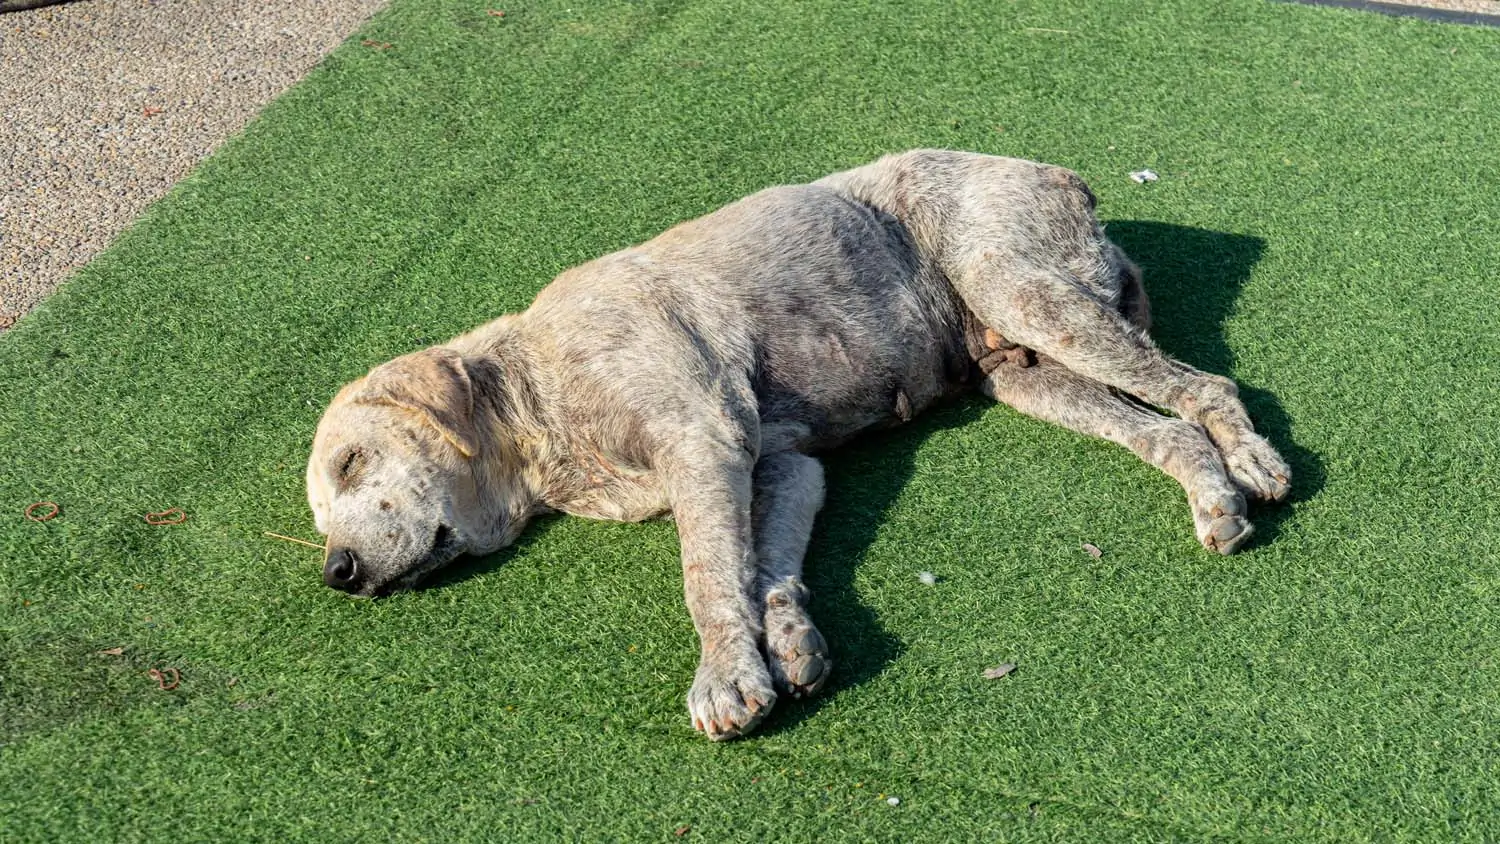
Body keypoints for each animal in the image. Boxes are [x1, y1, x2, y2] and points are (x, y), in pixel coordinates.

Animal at [304, 149, 1290, 740]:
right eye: (321, 515)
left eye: (353, 463)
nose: (336, 571)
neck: (536, 398)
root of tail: (1062, 173)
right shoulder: (780, 464)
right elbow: (762, 565)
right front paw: (785, 642)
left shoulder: (702, 445)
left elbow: (707, 578)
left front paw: (723, 673)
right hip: (1025, 367)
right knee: (1165, 427)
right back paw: (1211, 489)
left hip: (1023, 290)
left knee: (1207, 387)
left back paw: (1250, 460)